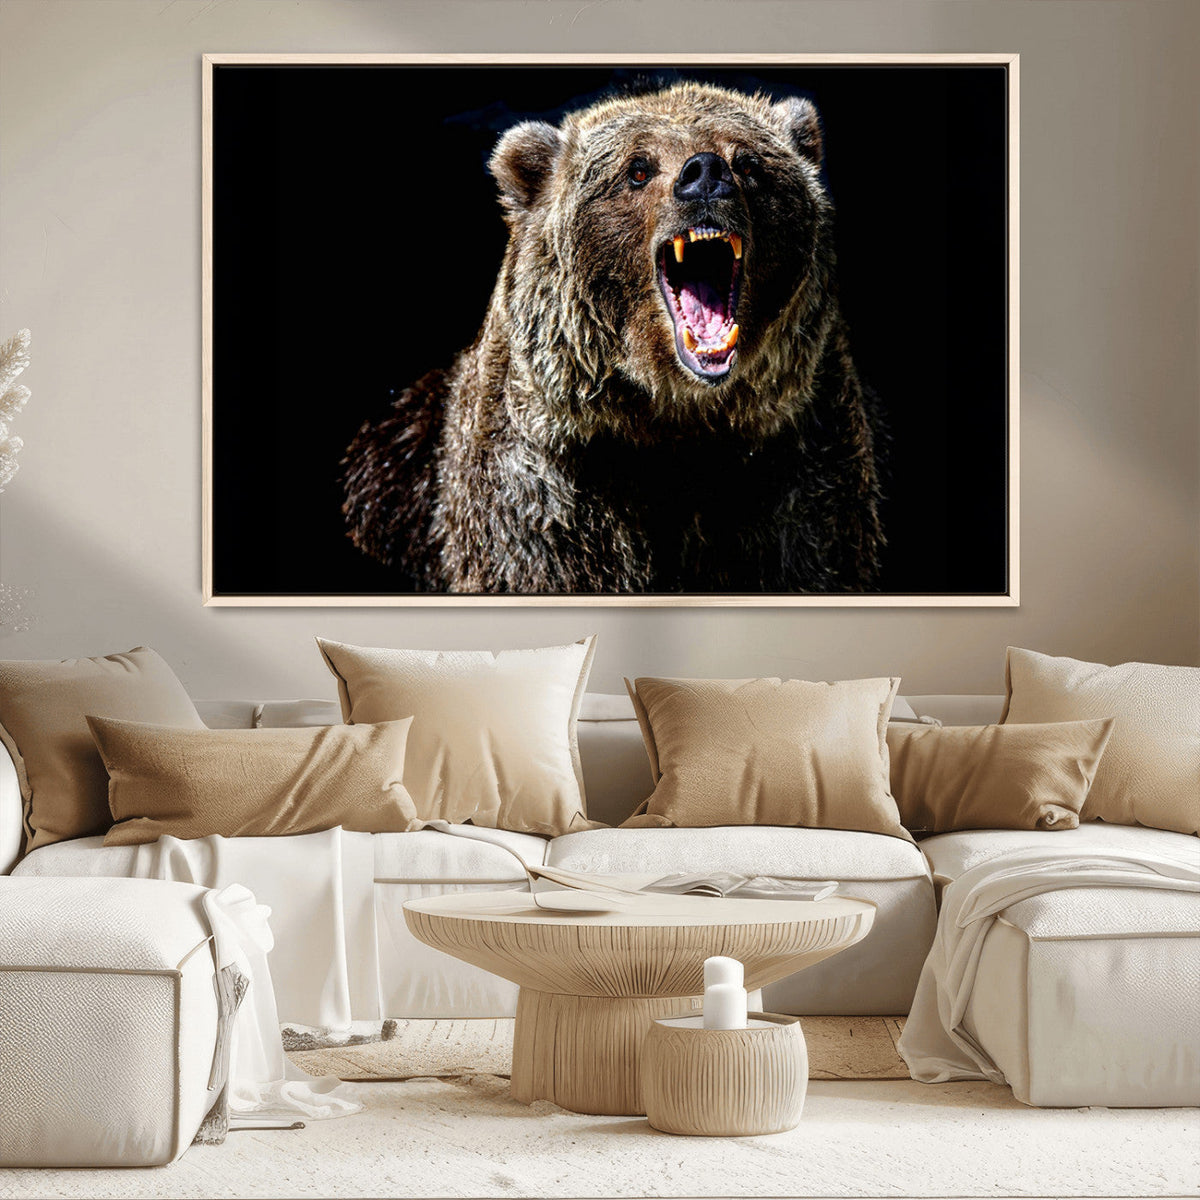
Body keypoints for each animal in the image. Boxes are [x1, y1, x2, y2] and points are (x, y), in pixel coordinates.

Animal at [342, 81, 884, 594]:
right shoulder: (547, 494)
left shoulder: (794, 471)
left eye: (748, 162)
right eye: (637, 169)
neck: (673, 420)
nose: (705, 174)